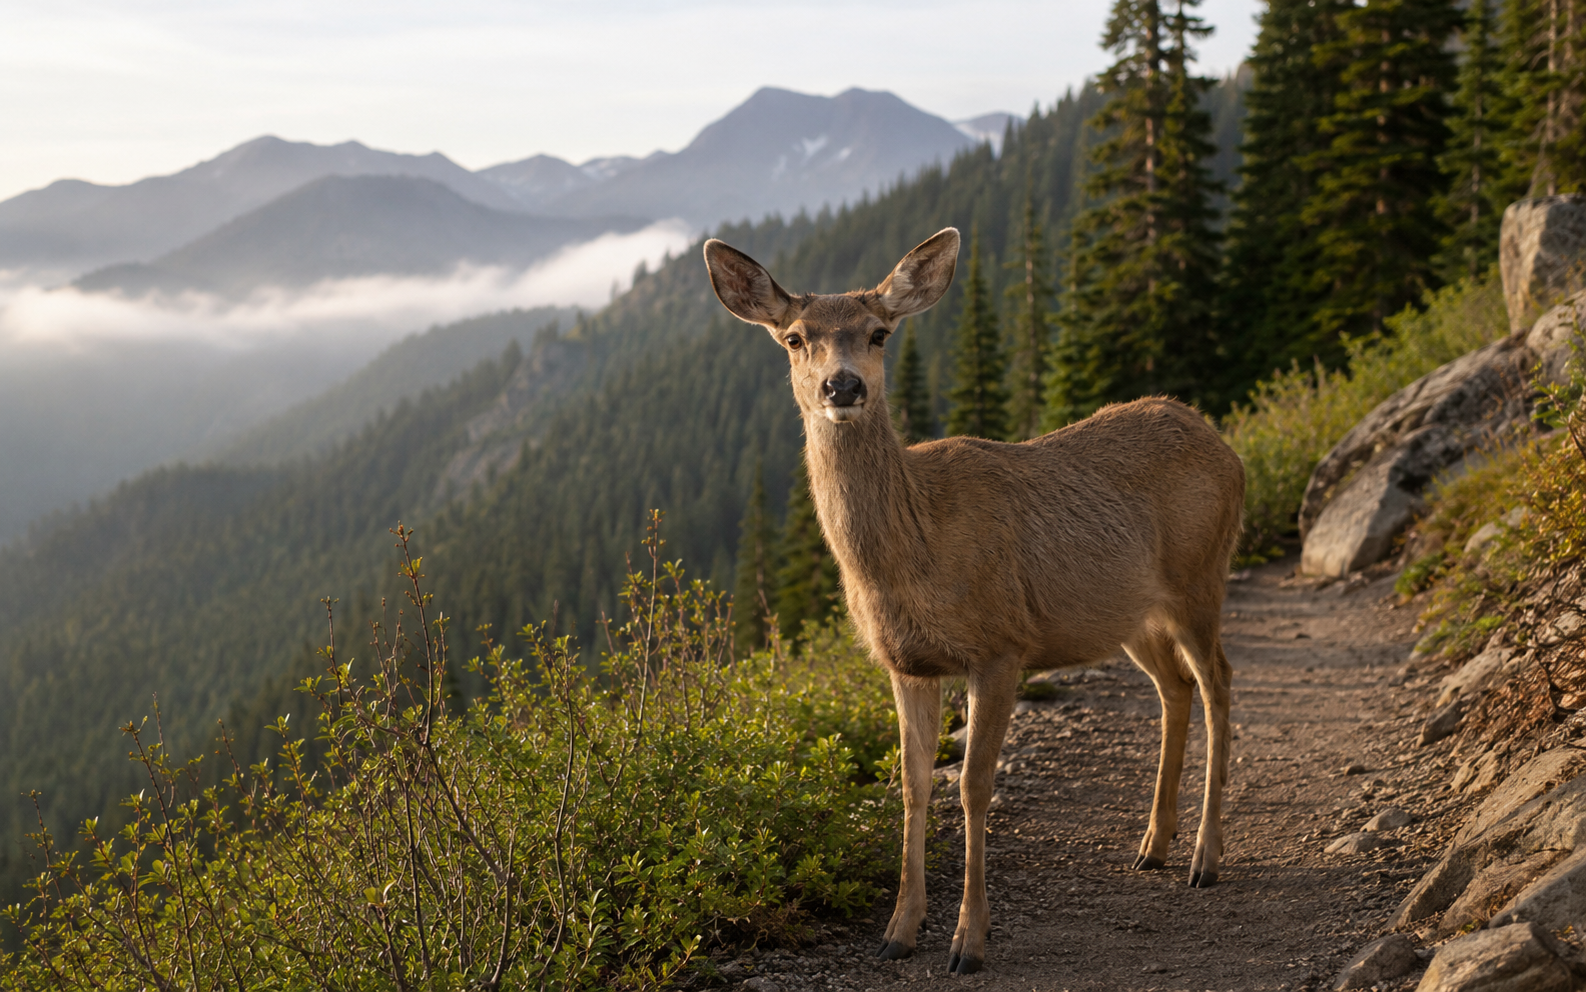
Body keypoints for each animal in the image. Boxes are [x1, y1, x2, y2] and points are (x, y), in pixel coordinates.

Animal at [703, 227, 1244, 975]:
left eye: (879, 332)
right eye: (794, 337)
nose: (843, 384)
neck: (913, 552)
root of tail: (1225, 445)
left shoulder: (1000, 647)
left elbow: (973, 786)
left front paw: (969, 941)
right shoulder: (905, 664)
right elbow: (912, 785)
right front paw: (900, 930)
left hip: (1202, 573)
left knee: (1218, 679)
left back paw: (1205, 858)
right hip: (1131, 614)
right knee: (1176, 687)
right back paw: (1152, 847)